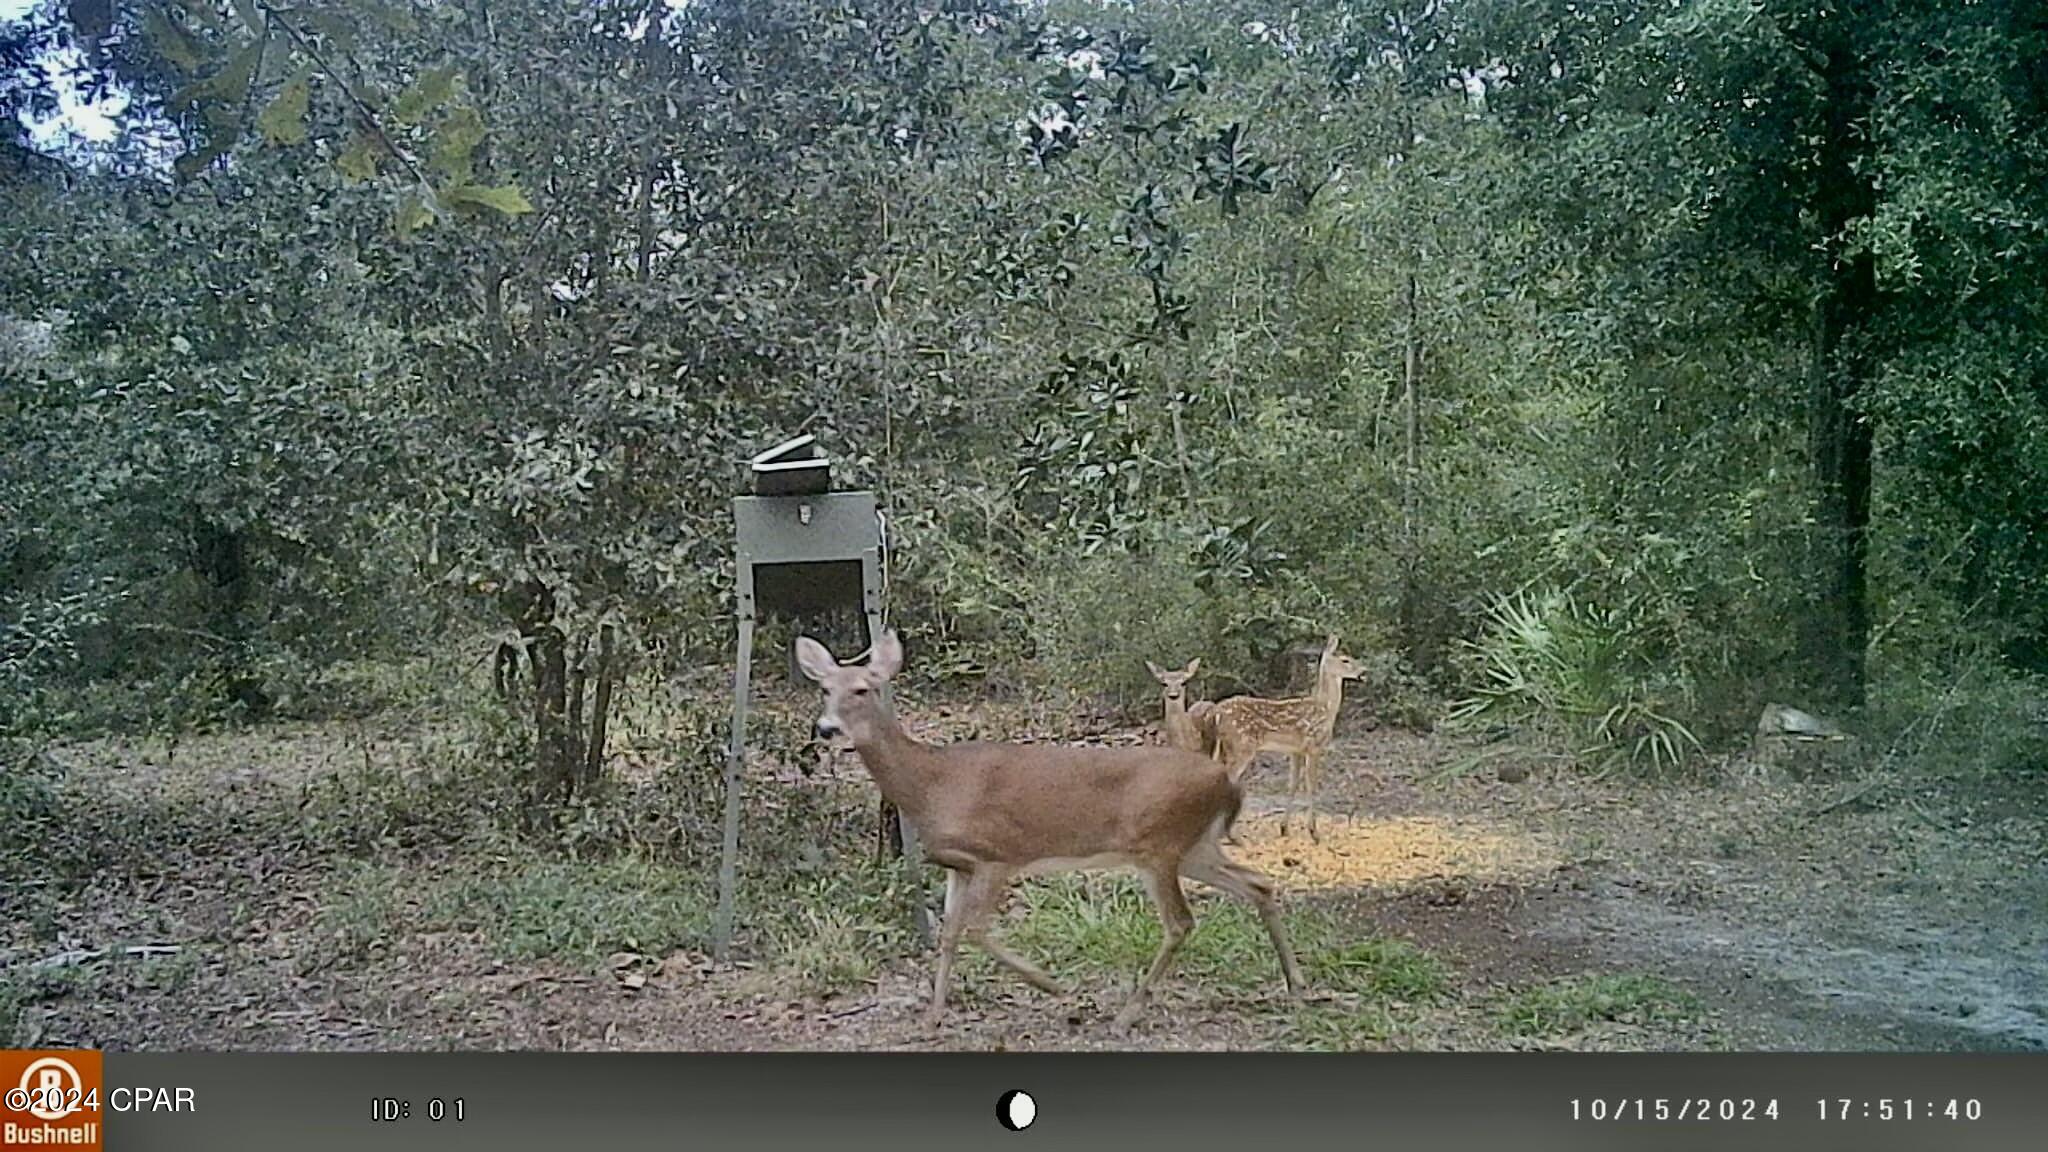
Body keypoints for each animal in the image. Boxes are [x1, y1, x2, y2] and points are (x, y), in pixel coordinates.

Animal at [790, 627, 1302, 1033]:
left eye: (861, 689)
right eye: (824, 689)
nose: (826, 728)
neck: (932, 784)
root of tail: (1227, 783)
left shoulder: (997, 855)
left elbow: (974, 929)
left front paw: (1054, 985)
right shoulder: (957, 865)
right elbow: (950, 933)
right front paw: (933, 1016)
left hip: (1158, 843)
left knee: (1181, 922)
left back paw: (1126, 1014)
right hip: (1195, 846)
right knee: (1258, 884)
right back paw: (1295, 983)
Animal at [1204, 631, 1368, 840]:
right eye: (1345, 659)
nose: (1364, 670)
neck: (1325, 708)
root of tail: (1216, 712)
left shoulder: (1295, 750)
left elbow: (1292, 784)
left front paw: (1284, 828)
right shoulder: (1314, 746)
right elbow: (1311, 785)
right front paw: (1314, 832)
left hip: (1224, 746)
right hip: (1241, 746)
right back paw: (1229, 835)